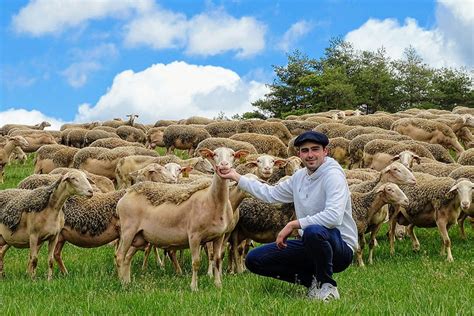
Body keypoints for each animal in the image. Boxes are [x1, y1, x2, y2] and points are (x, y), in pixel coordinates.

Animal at [115, 147, 248, 290]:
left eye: (233, 154)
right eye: (214, 154)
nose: (224, 165)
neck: (212, 200)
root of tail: (128, 193)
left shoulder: (219, 236)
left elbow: (217, 259)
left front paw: (218, 285)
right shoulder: (194, 236)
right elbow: (196, 262)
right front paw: (194, 287)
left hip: (139, 236)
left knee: (128, 257)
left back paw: (128, 282)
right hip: (128, 231)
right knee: (120, 256)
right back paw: (122, 284)